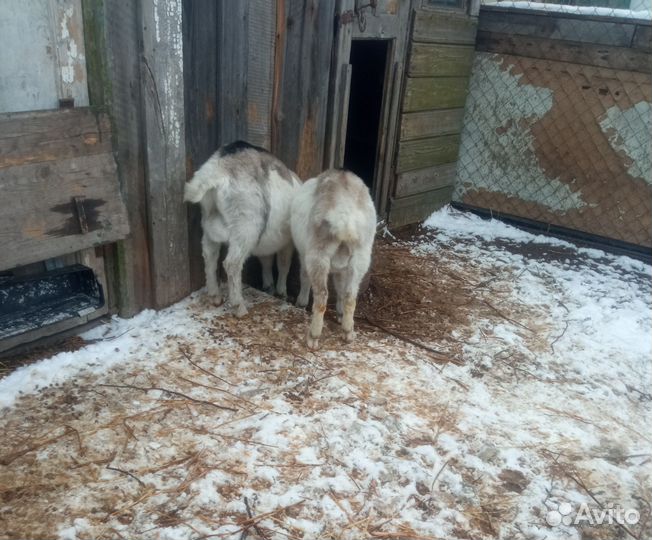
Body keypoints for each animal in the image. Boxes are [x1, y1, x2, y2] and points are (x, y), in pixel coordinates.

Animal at [185, 140, 302, 316]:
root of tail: (218, 168)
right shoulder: (288, 242)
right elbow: (283, 264)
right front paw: (281, 291)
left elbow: (267, 261)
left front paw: (269, 286)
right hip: (247, 225)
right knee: (232, 263)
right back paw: (238, 306)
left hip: (209, 220)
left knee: (209, 255)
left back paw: (214, 296)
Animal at [292, 168, 376, 350]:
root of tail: (346, 217)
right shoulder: (342, 268)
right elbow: (341, 289)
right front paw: (340, 314)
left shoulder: (304, 256)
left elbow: (304, 277)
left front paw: (300, 302)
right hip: (361, 257)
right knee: (350, 295)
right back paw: (348, 332)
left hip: (318, 255)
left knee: (322, 296)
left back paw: (313, 337)